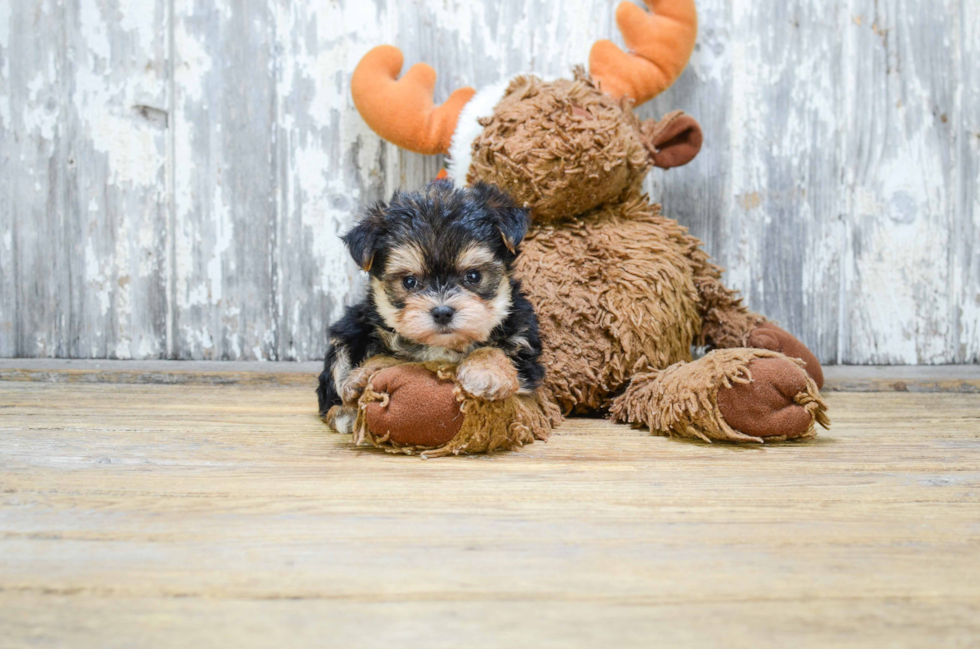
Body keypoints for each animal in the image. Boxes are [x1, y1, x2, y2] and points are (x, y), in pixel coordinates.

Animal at [318, 180, 544, 432]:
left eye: (473, 276)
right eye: (409, 282)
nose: (443, 312)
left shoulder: (525, 351)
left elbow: (501, 351)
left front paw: (486, 371)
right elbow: (391, 358)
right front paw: (364, 374)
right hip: (346, 331)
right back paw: (345, 413)